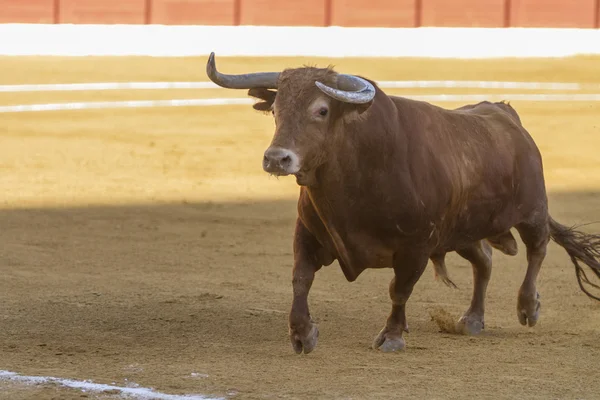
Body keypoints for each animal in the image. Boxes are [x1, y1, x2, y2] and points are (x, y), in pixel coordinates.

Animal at [205, 52, 600, 354]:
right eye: (275, 111)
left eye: (321, 110)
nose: (277, 159)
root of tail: (505, 112)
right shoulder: (309, 233)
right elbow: (300, 278)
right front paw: (303, 334)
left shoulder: (416, 246)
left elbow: (399, 289)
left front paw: (392, 337)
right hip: (461, 232)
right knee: (484, 262)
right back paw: (472, 319)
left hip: (532, 210)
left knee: (537, 249)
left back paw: (528, 306)